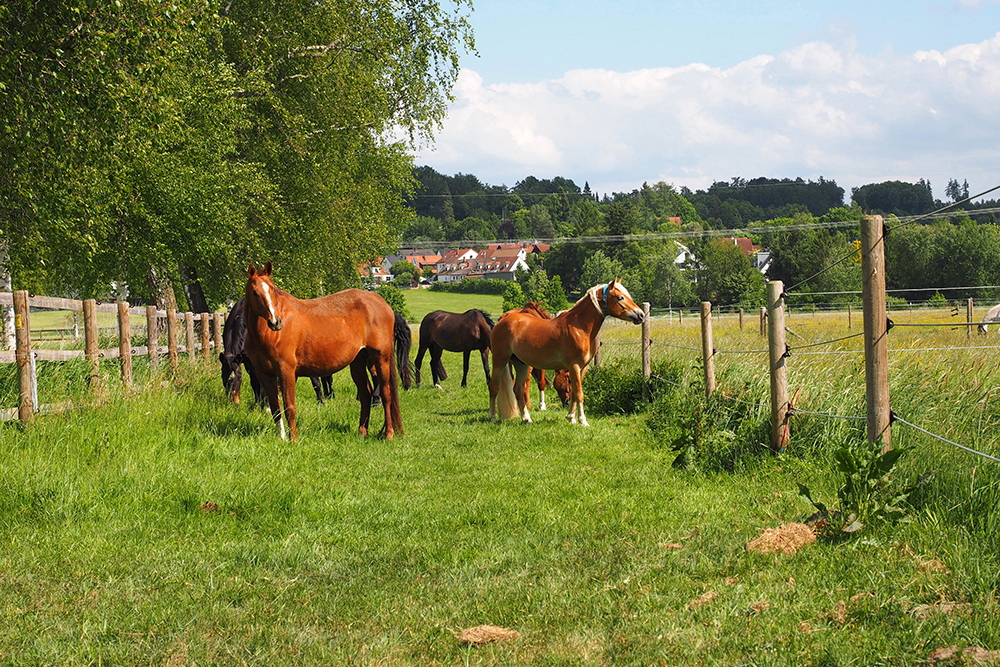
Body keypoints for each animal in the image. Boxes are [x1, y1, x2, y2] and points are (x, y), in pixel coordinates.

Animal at [242, 262, 412, 440]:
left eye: (273, 289)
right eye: (255, 292)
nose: (275, 322)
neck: (267, 335)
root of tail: (381, 302)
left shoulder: (286, 370)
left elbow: (289, 407)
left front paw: (293, 439)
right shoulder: (264, 374)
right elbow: (276, 408)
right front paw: (282, 439)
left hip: (381, 358)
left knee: (386, 394)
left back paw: (389, 433)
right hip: (358, 362)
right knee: (366, 395)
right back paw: (362, 432)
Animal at [489, 279, 644, 426]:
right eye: (620, 298)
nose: (641, 315)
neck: (579, 327)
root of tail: (501, 321)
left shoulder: (583, 368)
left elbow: (575, 392)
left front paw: (571, 418)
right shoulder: (574, 366)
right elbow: (580, 393)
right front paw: (583, 421)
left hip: (521, 364)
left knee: (518, 390)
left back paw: (527, 419)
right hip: (500, 360)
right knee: (494, 387)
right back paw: (492, 418)